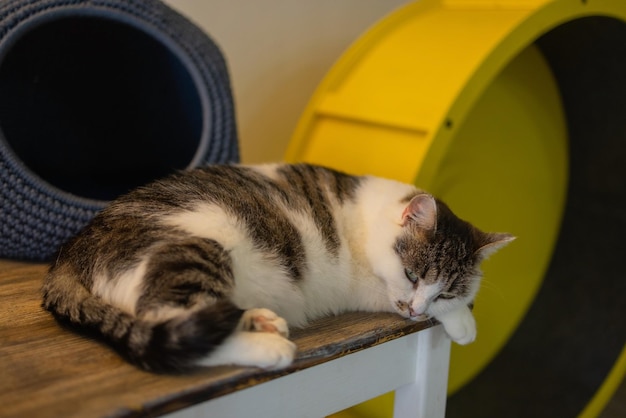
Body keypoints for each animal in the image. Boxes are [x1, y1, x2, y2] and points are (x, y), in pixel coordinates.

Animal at [42, 162, 512, 372]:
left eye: (445, 289)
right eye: (413, 275)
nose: (417, 309)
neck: (366, 220)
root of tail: (71, 249)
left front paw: (455, 315)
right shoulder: (368, 285)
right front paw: (463, 323)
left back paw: (260, 320)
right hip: (195, 250)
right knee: (172, 330)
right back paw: (269, 348)